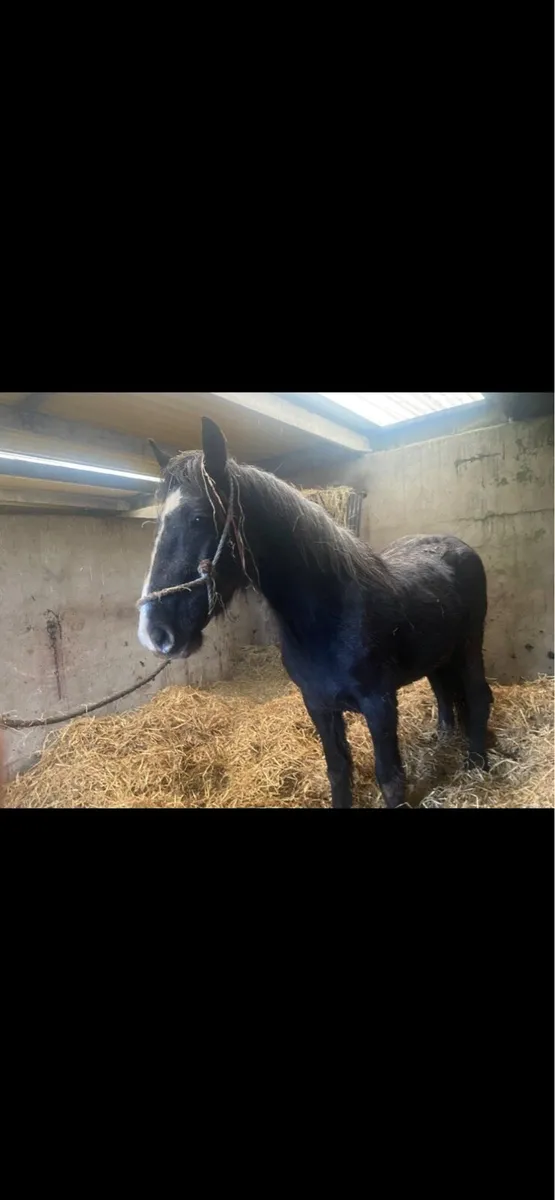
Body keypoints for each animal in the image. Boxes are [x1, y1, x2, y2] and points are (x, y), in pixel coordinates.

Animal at [138, 417, 493, 808]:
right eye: (159, 524)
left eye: (199, 517)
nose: (155, 632)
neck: (329, 620)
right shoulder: (318, 705)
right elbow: (338, 772)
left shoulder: (380, 705)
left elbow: (390, 779)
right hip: (438, 654)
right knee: (444, 691)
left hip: (469, 645)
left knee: (478, 696)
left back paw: (476, 765)